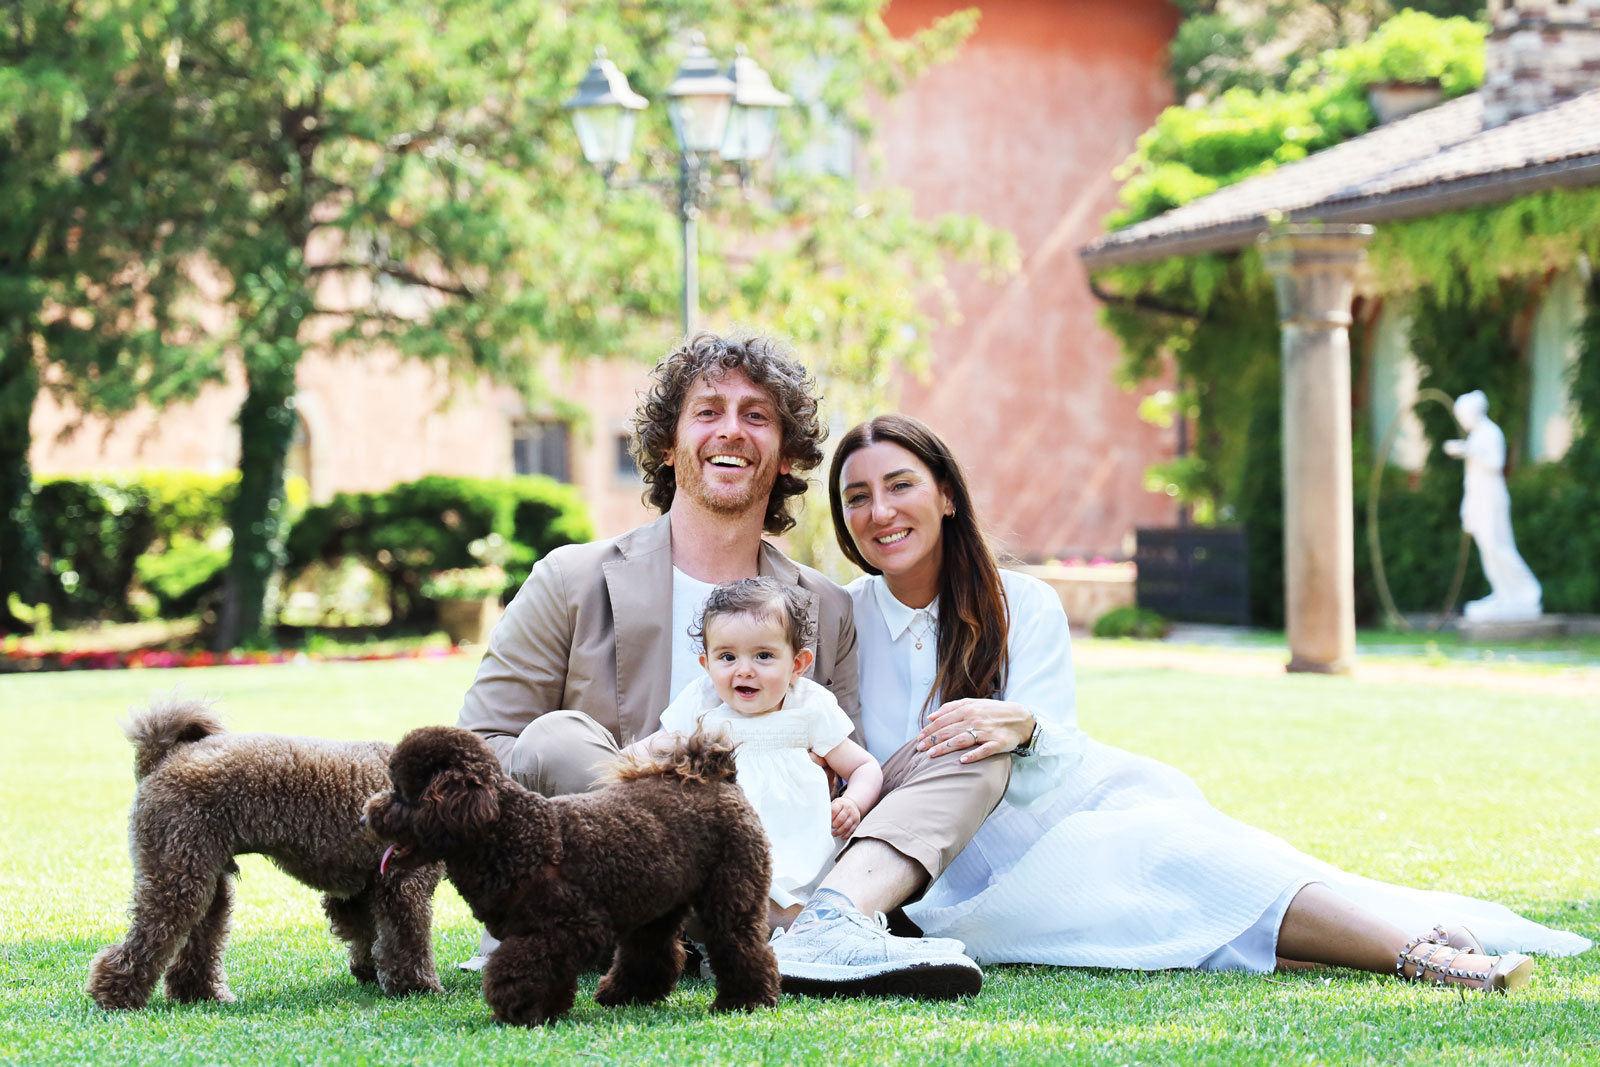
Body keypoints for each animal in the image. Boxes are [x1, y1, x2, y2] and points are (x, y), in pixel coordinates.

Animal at [87, 698, 443, 1009]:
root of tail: (162, 758)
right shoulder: (402, 884)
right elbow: (406, 940)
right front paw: (417, 987)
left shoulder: (361, 889)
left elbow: (367, 933)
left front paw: (369, 972)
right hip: (177, 874)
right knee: (148, 938)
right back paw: (117, 997)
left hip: (204, 876)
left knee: (200, 938)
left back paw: (200, 994)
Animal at [363, 725, 780, 1025]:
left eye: (403, 794)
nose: (367, 816)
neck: (509, 834)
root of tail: (720, 777)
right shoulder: (546, 931)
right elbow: (541, 969)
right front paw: (543, 1008)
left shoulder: (571, 926)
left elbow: (515, 967)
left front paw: (517, 1009)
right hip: (656, 902)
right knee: (652, 948)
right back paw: (627, 995)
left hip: (731, 890)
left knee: (739, 941)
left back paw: (745, 1001)